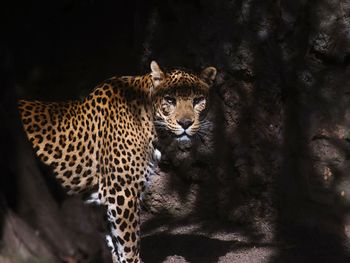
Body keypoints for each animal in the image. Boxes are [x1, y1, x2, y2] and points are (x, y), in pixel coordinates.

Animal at [18, 62, 216, 263]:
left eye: (197, 100)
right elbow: (129, 245)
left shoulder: (106, 199)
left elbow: (114, 243)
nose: (185, 123)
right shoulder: (122, 193)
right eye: (170, 100)